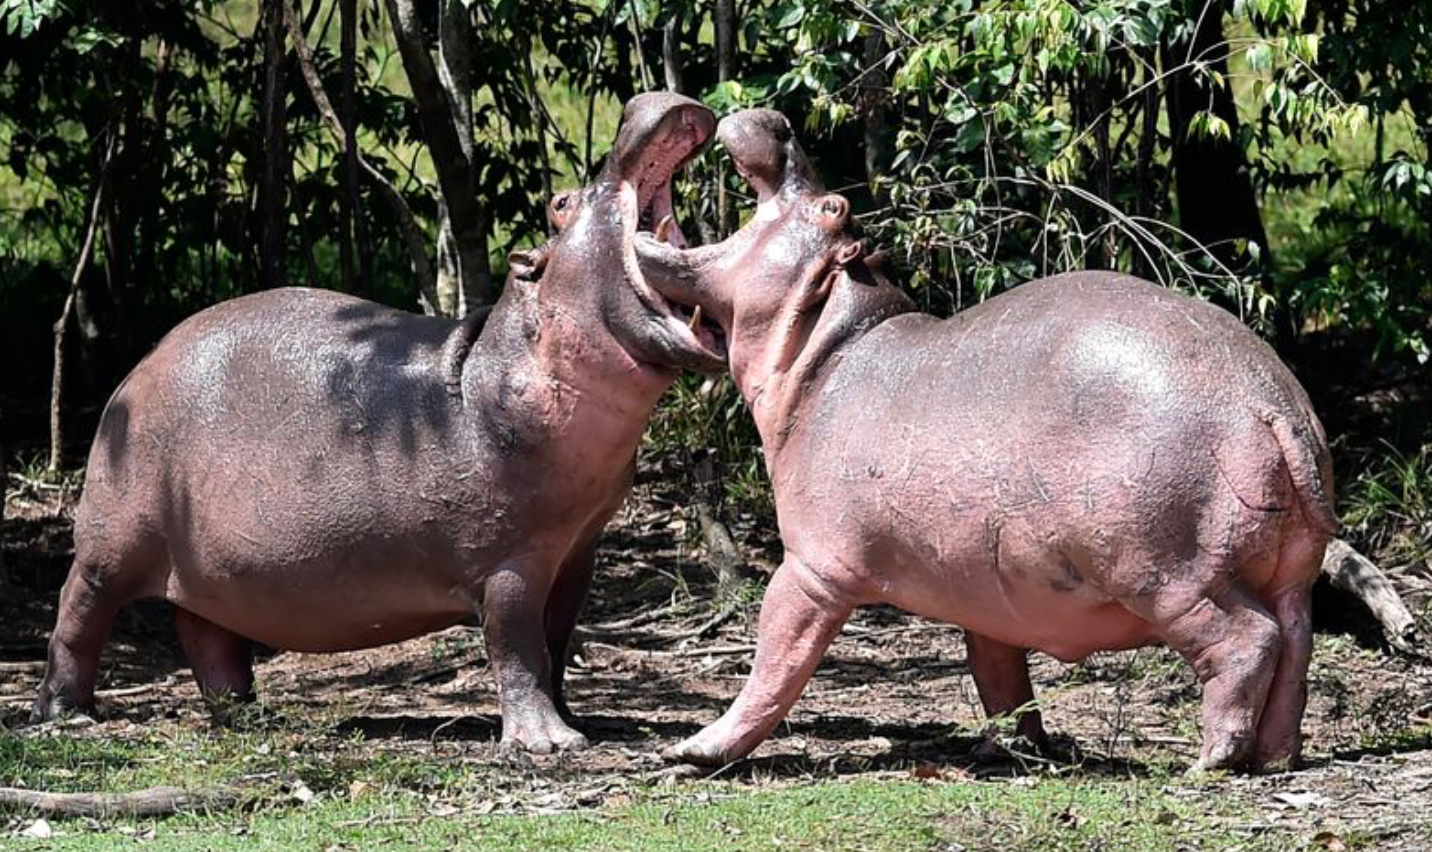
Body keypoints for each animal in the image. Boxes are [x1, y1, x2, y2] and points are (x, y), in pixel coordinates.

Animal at [32, 93, 727, 754]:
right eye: (561, 202)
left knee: (207, 633)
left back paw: (250, 716)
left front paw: (579, 721)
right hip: (113, 541)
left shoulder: (577, 552)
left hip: (210, 565)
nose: (641, 104)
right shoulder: (509, 561)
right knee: (77, 612)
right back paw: (64, 714)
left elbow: (556, 646)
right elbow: (518, 649)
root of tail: (141, 365)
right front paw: (549, 743)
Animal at [635, 109, 1336, 771]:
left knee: (1246, 641)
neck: (829, 346)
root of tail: (1268, 404)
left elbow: (774, 659)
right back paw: (1276, 757)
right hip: (1288, 571)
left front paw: (692, 752)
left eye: (830, 206)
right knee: (1296, 648)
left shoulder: (811, 568)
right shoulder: (984, 595)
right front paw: (1018, 751)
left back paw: (1211, 760)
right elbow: (999, 676)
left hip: (1165, 572)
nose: (778, 121)